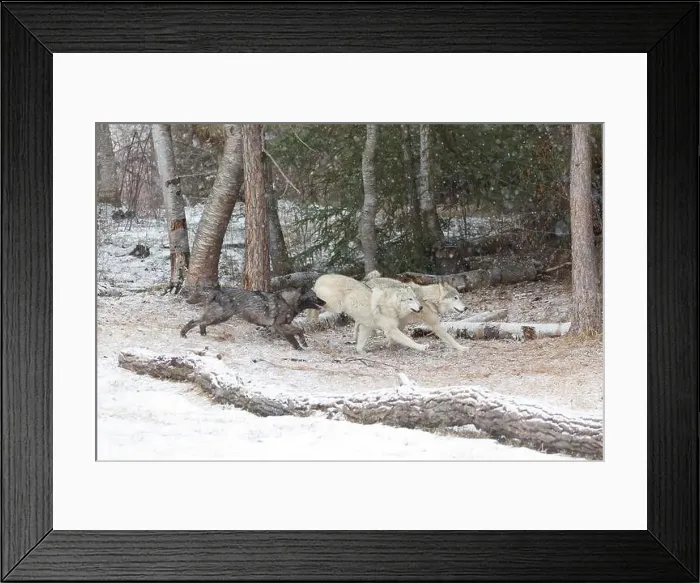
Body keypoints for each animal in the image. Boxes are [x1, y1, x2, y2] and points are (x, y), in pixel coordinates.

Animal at [180, 287, 325, 350]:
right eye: (315, 297)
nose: (324, 302)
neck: (288, 301)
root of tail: (217, 291)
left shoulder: (281, 328)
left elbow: (293, 337)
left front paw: (298, 346)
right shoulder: (279, 326)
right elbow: (300, 330)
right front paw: (303, 344)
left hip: (219, 318)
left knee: (201, 323)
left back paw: (203, 334)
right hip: (219, 317)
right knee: (194, 321)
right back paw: (183, 333)